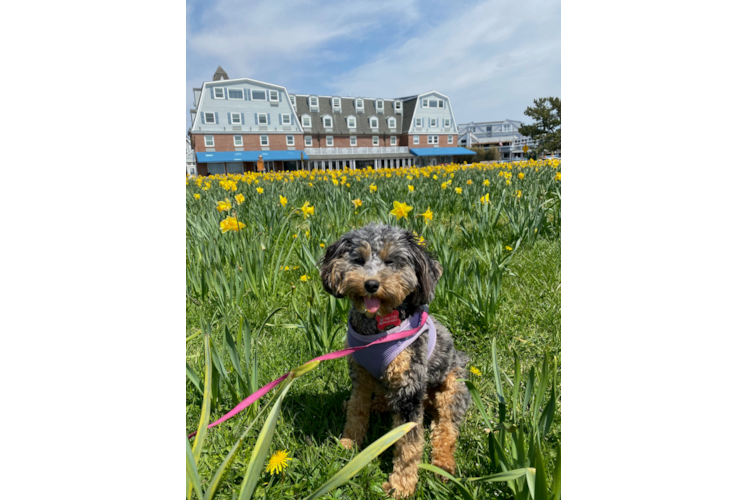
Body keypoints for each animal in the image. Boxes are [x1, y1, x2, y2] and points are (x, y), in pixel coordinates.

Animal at [318, 225, 470, 498]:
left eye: (391, 261)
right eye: (359, 260)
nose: (371, 284)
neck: (378, 327)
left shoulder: (409, 389)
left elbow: (409, 444)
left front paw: (402, 485)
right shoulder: (360, 375)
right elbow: (357, 409)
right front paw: (349, 443)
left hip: (452, 388)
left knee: (446, 428)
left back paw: (443, 463)